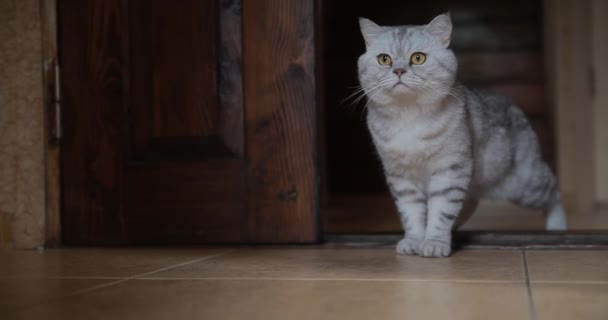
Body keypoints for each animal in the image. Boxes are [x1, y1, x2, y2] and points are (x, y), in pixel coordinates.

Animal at [358, 13, 568, 258]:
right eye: (384, 59)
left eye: (418, 58)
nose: (399, 71)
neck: (408, 115)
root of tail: (516, 108)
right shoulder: (401, 176)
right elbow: (412, 213)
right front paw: (415, 240)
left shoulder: (450, 169)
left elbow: (441, 211)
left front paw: (434, 243)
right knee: (465, 207)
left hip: (524, 184)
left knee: (554, 192)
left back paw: (558, 229)